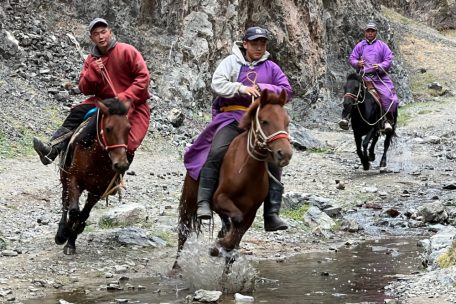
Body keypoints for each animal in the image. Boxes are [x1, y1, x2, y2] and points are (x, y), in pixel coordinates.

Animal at [54, 99, 132, 254]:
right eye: (108, 128)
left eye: (128, 129)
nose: (121, 164)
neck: (95, 159)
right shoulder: (73, 179)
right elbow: (74, 211)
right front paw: (65, 234)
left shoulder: (98, 190)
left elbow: (83, 214)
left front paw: (71, 241)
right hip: (65, 177)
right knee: (65, 201)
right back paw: (61, 232)